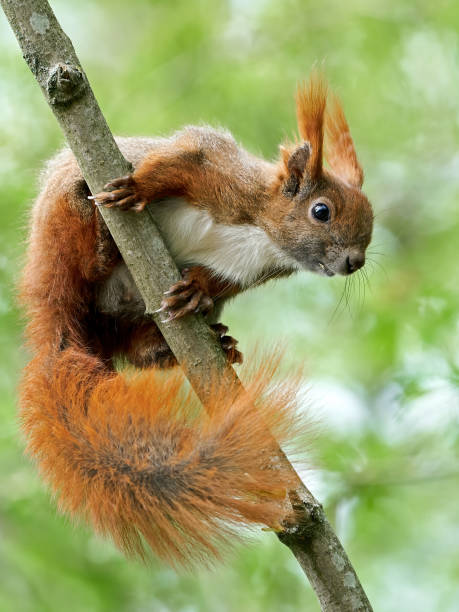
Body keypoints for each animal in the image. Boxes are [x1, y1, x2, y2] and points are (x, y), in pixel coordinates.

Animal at [19, 74, 376, 568]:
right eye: (321, 211)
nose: (353, 262)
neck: (263, 235)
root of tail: (57, 323)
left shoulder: (245, 273)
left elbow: (215, 282)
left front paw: (197, 292)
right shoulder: (217, 171)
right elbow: (178, 163)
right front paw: (138, 188)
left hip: (119, 323)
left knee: (136, 347)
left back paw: (205, 342)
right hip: (59, 232)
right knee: (79, 253)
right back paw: (101, 244)